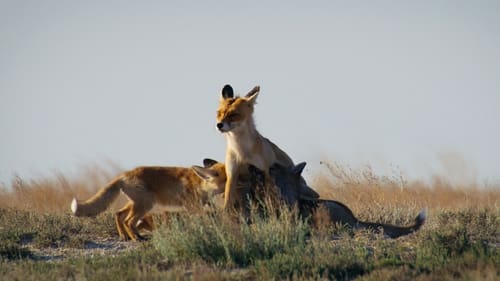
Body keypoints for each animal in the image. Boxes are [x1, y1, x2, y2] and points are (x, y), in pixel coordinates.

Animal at [70, 159, 225, 240]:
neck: (201, 184)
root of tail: (125, 174)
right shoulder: (192, 207)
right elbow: (205, 217)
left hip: (136, 204)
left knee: (119, 215)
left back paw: (125, 236)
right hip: (145, 205)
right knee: (128, 221)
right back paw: (137, 238)